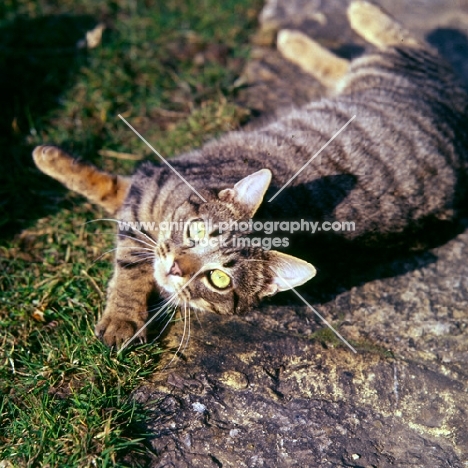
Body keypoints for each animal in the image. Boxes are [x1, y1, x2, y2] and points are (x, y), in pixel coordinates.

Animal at [33, 0, 468, 348]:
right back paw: (330, 23)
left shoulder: (144, 190)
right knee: (392, 47)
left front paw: (124, 318)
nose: (175, 268)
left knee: (392, 49)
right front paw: (48, 158)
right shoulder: (149, 186)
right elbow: (123, 234)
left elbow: (124, 231)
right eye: (196, 230)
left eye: (219, 280)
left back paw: (312, 30)